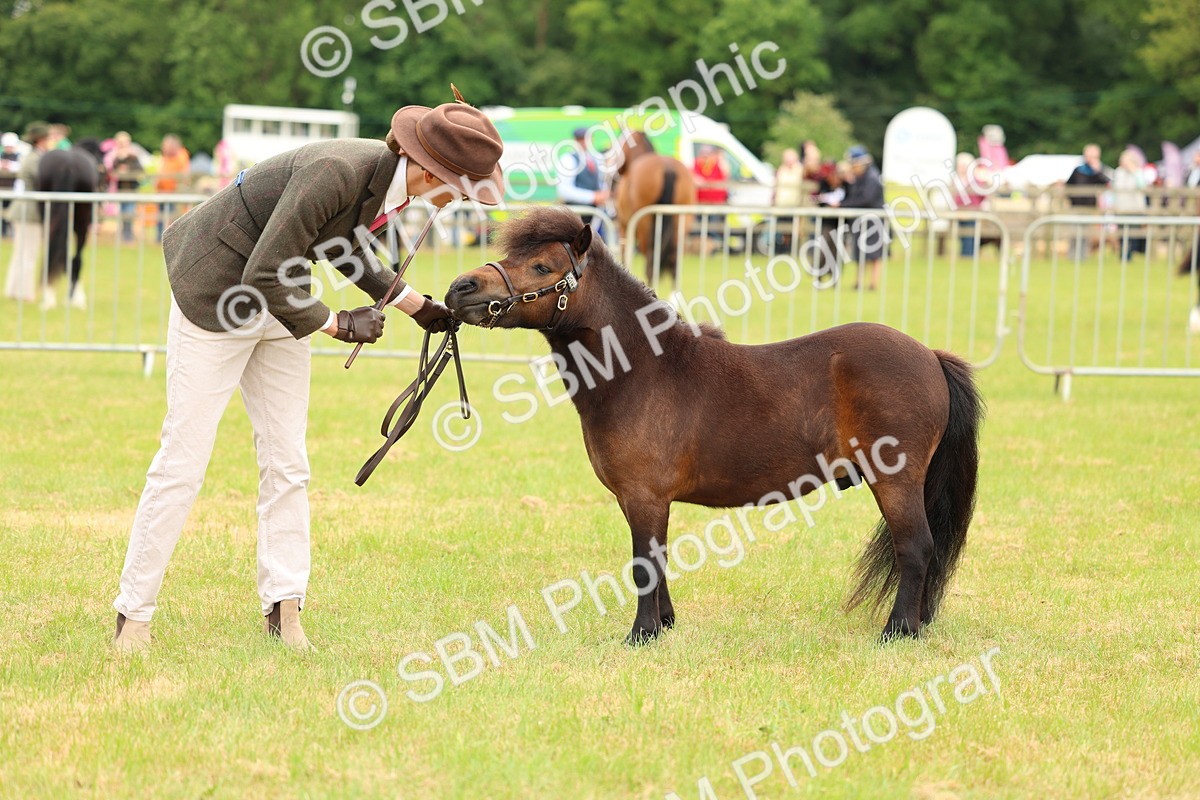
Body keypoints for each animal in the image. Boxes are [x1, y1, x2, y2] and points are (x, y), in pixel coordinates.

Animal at [36, 138, 103, 307]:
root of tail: (67, 165)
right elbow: (75, 259)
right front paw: (77, 297)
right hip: (82, 222)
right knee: (76, 258)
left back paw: (49, 295)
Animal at [446, 207, 984, 645]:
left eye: (542, 267)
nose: (459, 289)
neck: (643, 371)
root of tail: (930, 356)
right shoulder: (639, 500)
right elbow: (657, 560)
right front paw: (664, 625)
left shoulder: (644, 496)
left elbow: (644, 564)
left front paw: (641, 635)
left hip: (895, 479)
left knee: (915, 548)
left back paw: (897, 632)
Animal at [613, 130, 696, 285]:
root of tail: (667, 168)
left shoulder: (624, 226)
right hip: (681, 220)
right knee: (673, 262)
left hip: (645, 224)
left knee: (651, 261)